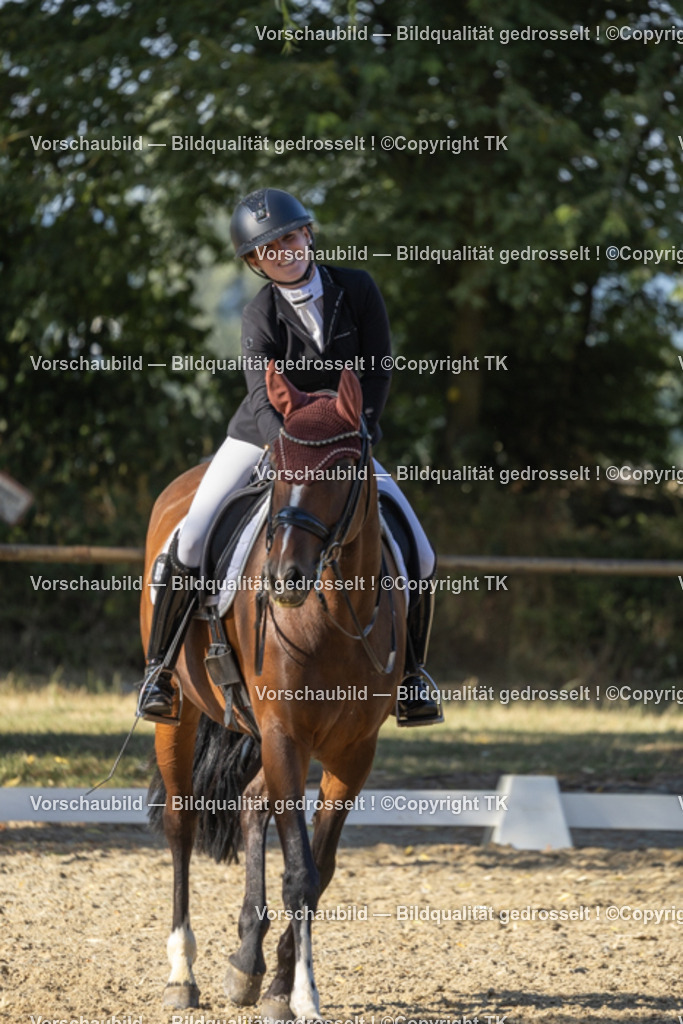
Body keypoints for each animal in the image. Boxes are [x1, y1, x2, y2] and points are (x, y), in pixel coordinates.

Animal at [143, 363, 406, 1020]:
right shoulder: (286, 734)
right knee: (182, 825)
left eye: (340, 469)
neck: (332, 611)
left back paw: (246, 959)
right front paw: (305, 993)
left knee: (251, 800)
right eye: (279, 469)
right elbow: (301, 872)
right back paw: (182, 974)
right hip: (180, 716)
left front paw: (282, 982)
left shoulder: (353, 751)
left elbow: (322, 866)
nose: (285, 579)